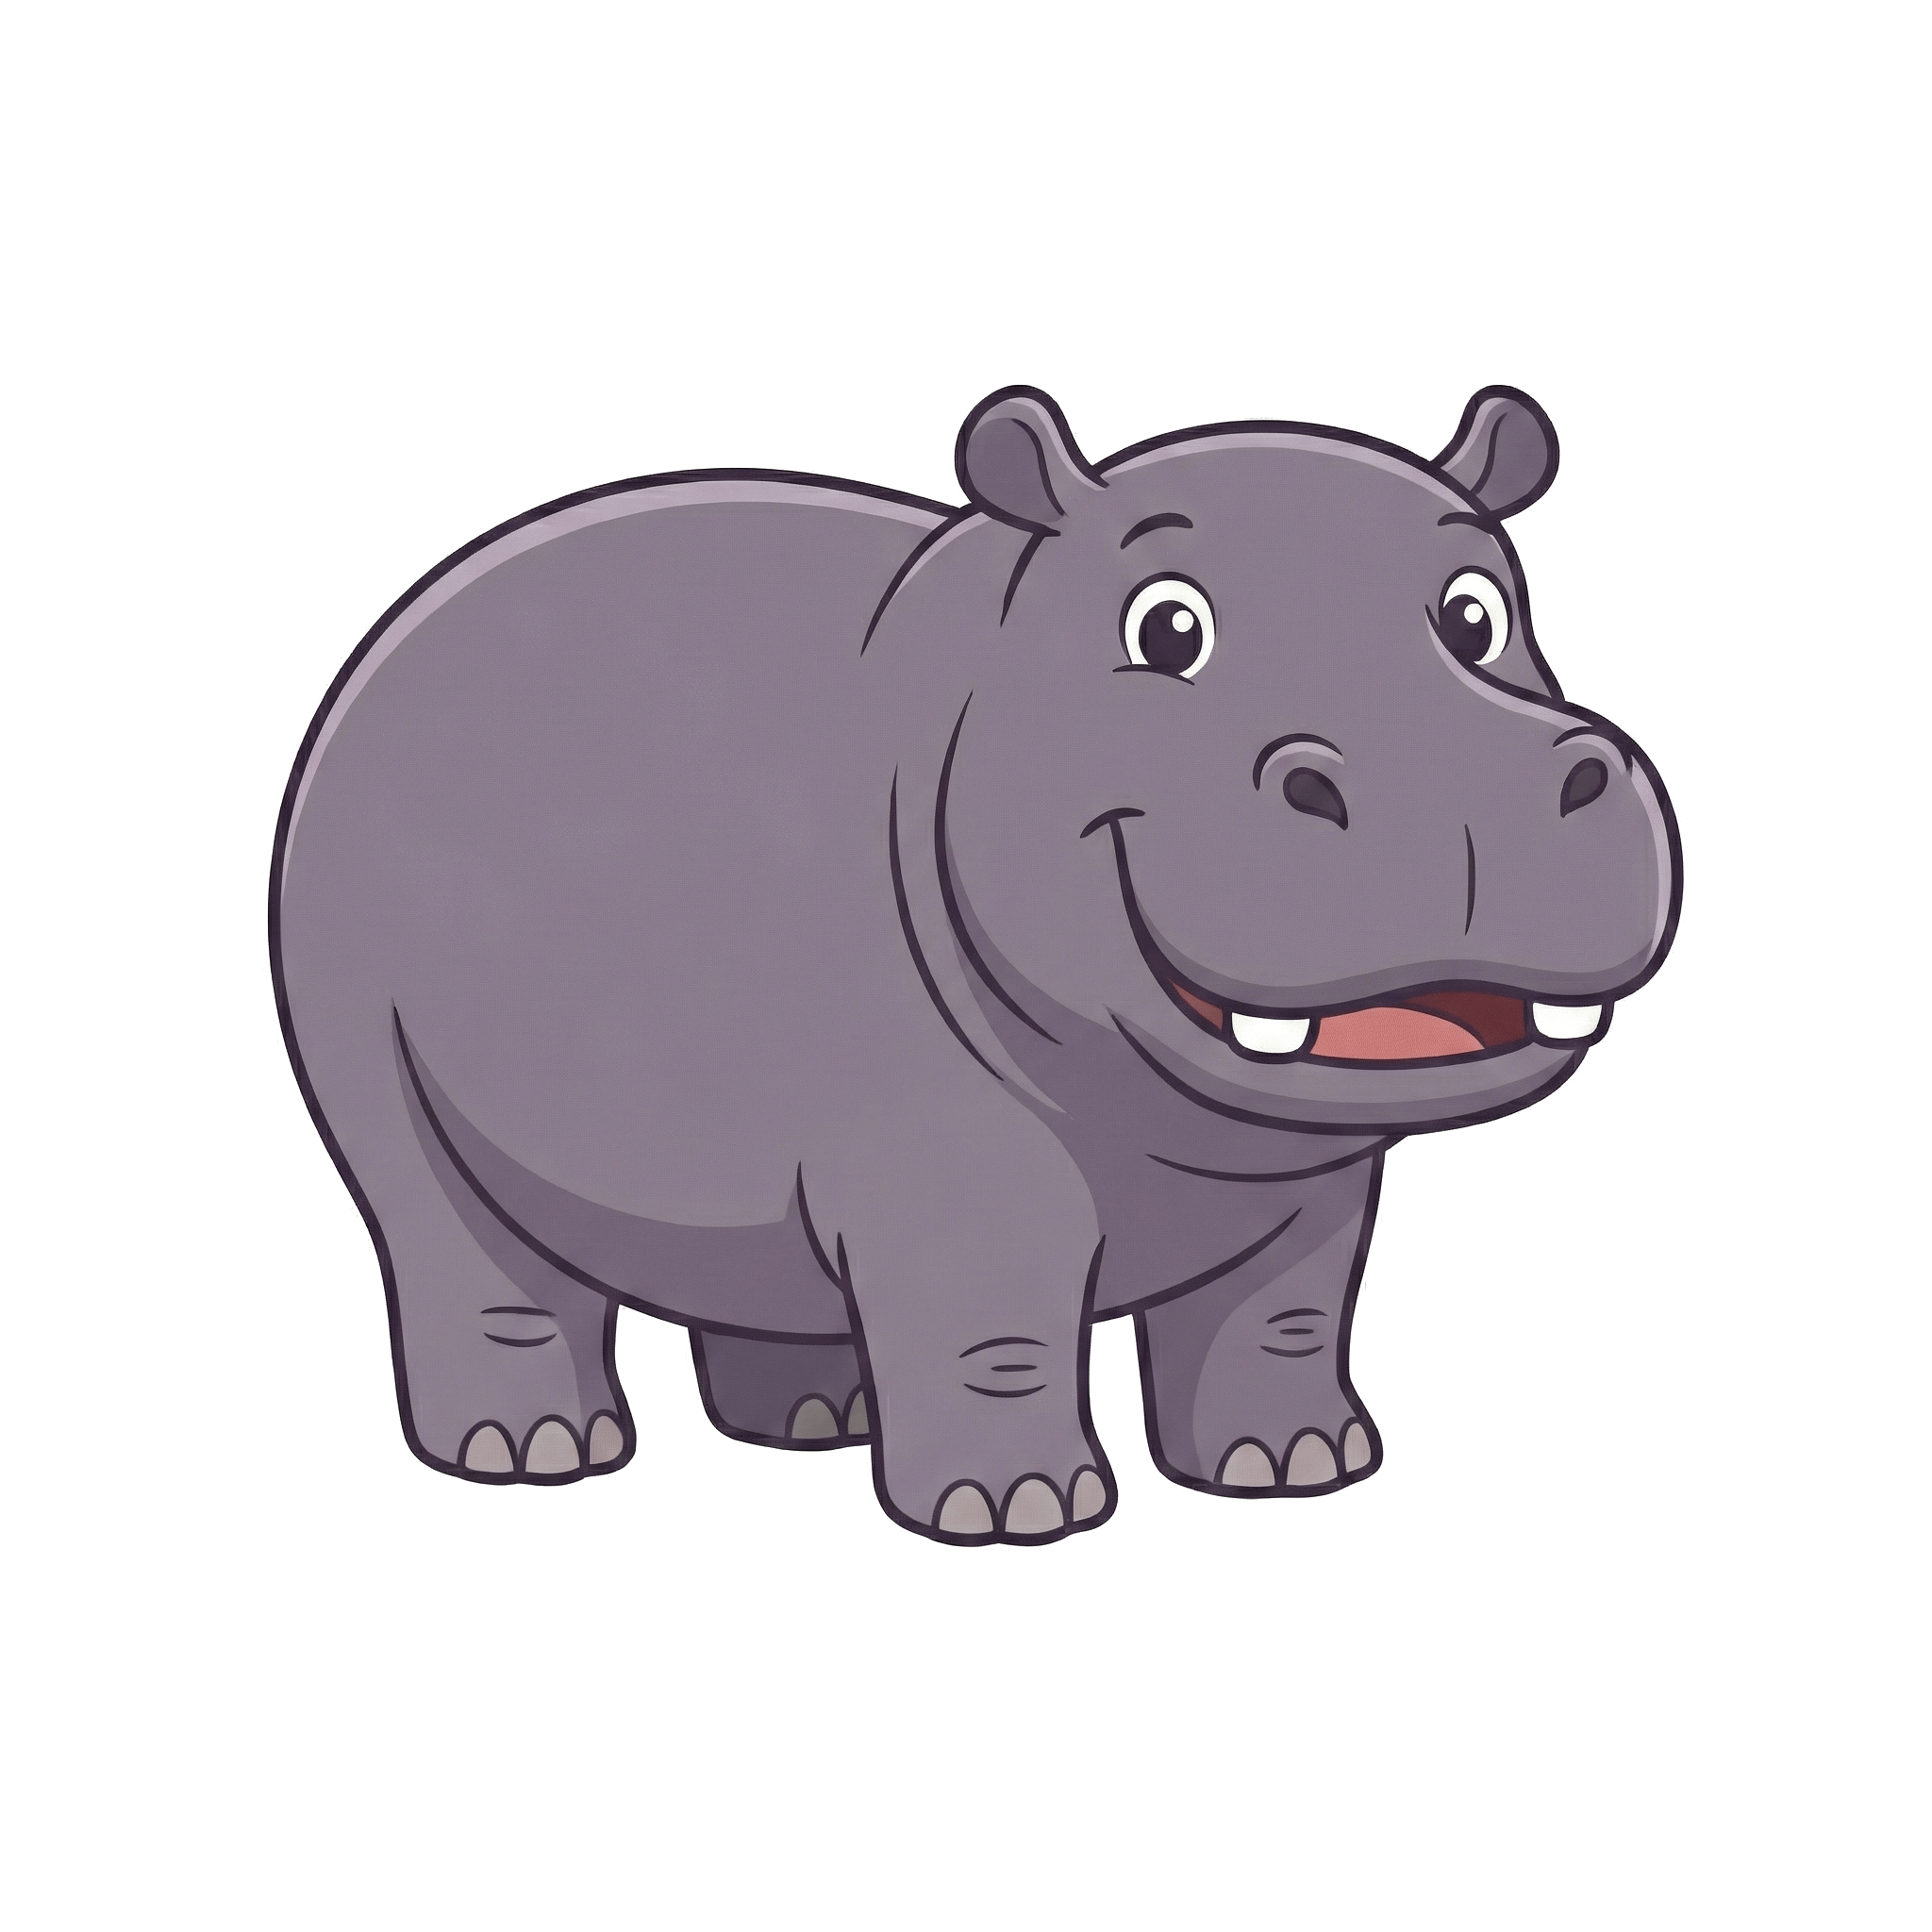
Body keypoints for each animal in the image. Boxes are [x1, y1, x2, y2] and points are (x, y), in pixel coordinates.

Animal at [271, 384, 1680, 1543]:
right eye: (1167, 628)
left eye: (1478, 615)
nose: (1468, 784)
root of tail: (422, 605)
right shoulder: (949, 1163)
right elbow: (993, 1323)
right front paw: (1016, 1510)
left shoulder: (1311, 1180)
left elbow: (1281, 1317)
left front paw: (1292, 1468)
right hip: (368, 1055)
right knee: (459, 1248)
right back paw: (535, 1450)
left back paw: (813, 1420)